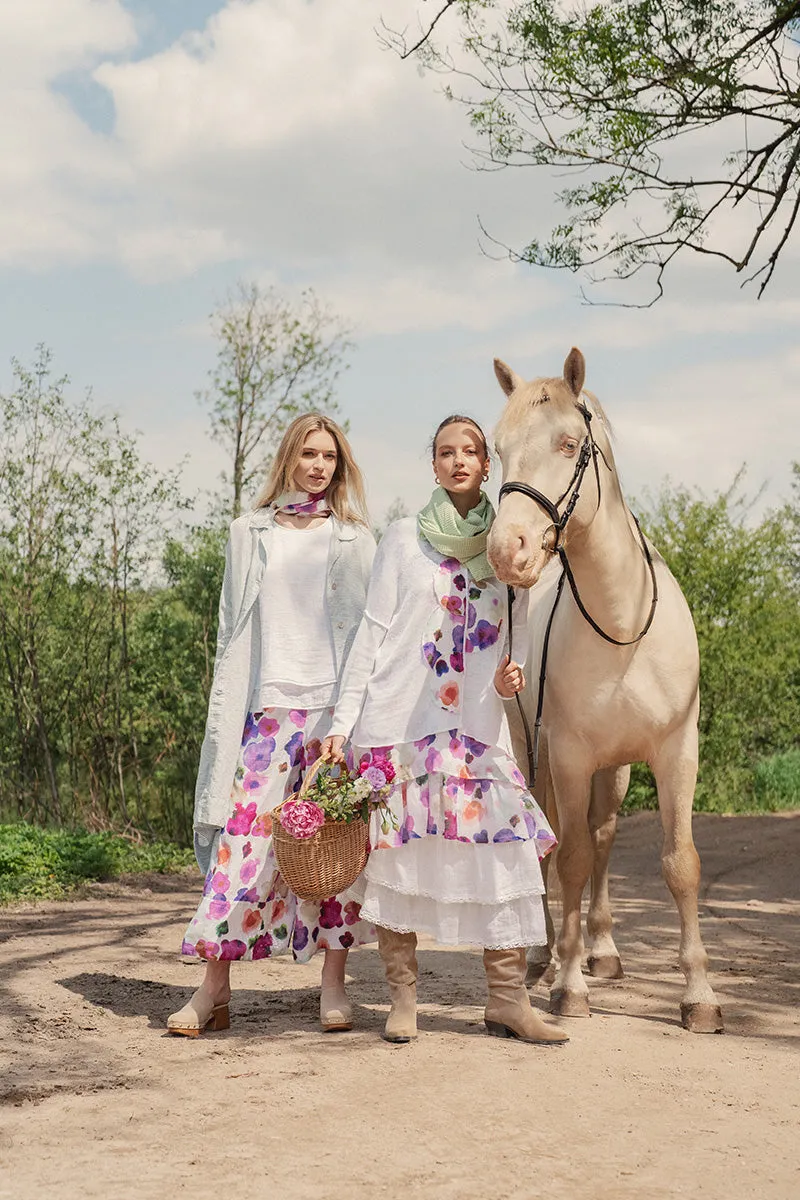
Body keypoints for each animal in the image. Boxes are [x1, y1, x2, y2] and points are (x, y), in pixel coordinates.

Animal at [489, 345, 724, 1032]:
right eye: (498, 449)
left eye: (569, 444)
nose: (506, 551)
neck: (623, 626)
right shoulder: (567, 756)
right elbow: (566, 859)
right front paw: (568, 986)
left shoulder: (676, 753)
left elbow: (680, 863)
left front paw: (699, 994)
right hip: (533, 750)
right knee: (552, 847)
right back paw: (543, 956)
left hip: (613, 770)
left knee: (601, 838)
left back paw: (602, 949)